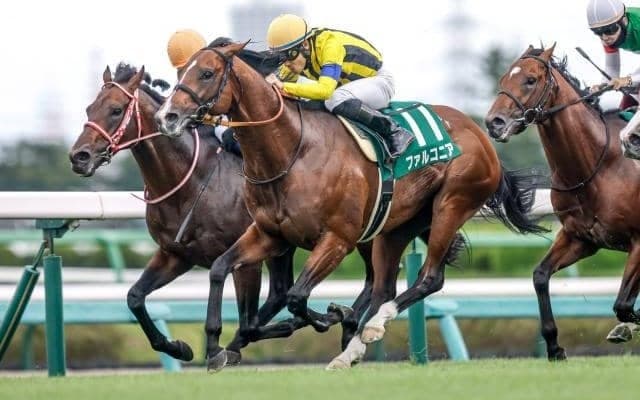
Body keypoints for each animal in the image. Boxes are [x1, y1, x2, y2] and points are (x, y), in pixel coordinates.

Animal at [69, 62, 367, 365]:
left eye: (116, 110)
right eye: (89, 109)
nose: (79, 156)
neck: (191, 183)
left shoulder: (247, 259)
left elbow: (248, 320)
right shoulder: (176, 254)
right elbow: (134, 297)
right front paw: (178, 347)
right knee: (280, 293)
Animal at [154, 40, 544, 371]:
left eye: (206, 73)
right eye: (182, 72)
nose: (168, 117)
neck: (292, 151)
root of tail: (480, 133)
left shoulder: (337, 239)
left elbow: (296, 296)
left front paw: (330, 316)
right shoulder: (269, 234)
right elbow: (220, 268)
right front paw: (215, 347)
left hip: (451, 205)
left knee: (429, 278)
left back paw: (368, 327)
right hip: (396, 226)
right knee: (385, 285)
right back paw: (353, 345)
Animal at [485, 44, 640, 360]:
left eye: (530, 80)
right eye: (504, 78)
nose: (494, 123)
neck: (598, 167)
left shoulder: (639, 240)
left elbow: (623, 305)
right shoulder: (580, 238)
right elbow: (540, 275)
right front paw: (554, 346)